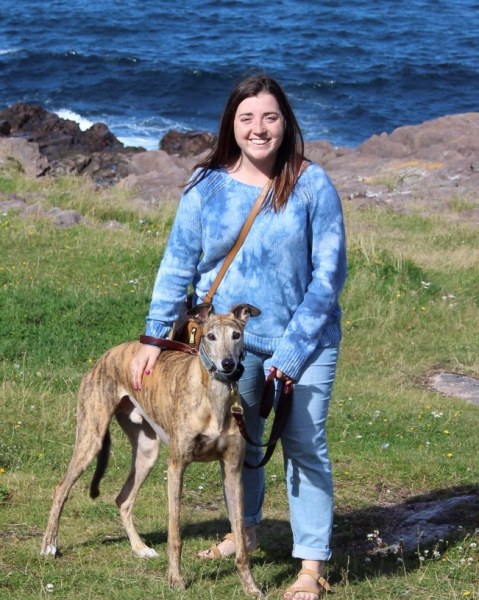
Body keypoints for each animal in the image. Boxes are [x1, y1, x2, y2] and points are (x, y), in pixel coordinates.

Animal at [40, 304, 266, 600]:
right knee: (61, 489)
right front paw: (176, 580)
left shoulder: (232, 471)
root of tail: (104, 357)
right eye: (211, 336)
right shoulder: (176, 466)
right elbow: (175, 535)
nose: (227, 364)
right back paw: (49, 545)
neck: (213, 399)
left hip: (147, 451)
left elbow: (240, 538)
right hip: (91, 437)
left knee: (123, 499)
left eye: (236, 335)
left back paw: (140, 548)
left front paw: (250, 586)